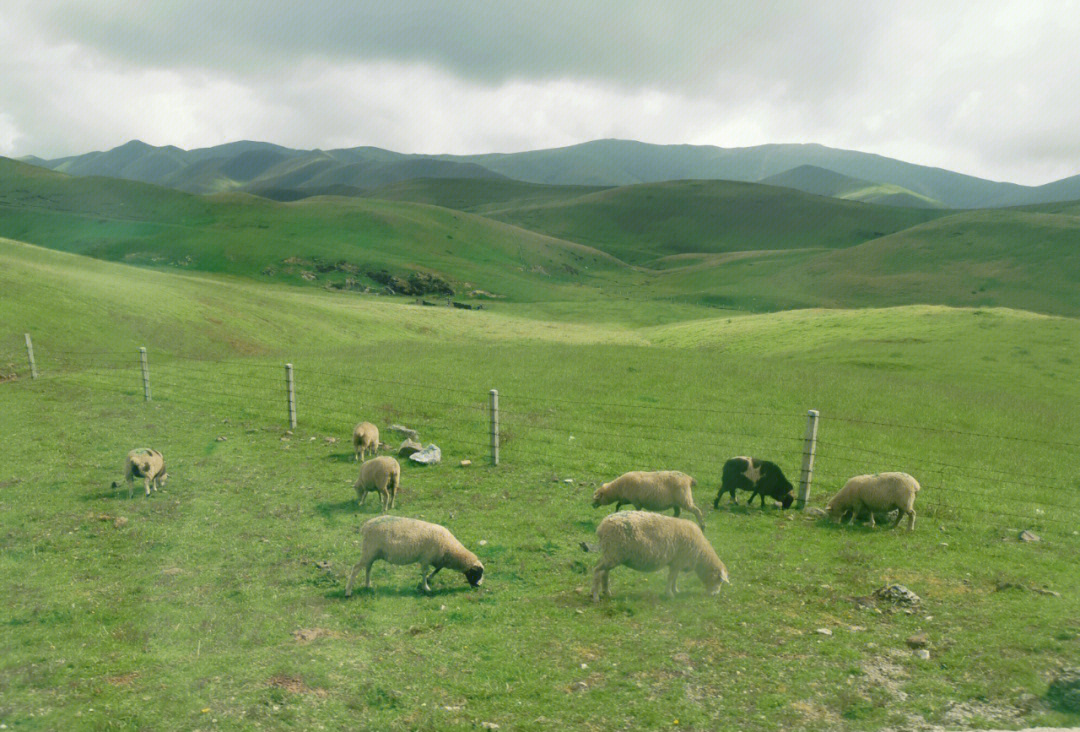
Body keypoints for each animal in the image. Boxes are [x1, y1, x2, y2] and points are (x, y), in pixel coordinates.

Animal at [345, 516, 486, 595]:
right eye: (477, 573)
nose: (478, 586)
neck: (450, 549)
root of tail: (367, 525)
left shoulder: (436, 558)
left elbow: (437, 569)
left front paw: (429, 579)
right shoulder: (426, 558)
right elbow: (424, 572)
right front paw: (426, 587)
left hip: (371, 553)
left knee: (368, 567)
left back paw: (368, 585)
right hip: (370, 550)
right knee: (356, 568)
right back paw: (348, 592)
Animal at [591, 509, 734, 600]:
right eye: (720, 580)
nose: (714, 595)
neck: (700, 555)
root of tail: (602, 526)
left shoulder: (676, 563)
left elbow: (674, 578)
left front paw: (675, 590)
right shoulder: (677, 561)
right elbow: (671, 578)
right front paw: (670, 594)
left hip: (611, 553)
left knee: (604, 572)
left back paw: (606, 591)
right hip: (613, 552)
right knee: (597, 570)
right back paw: (595, 596)